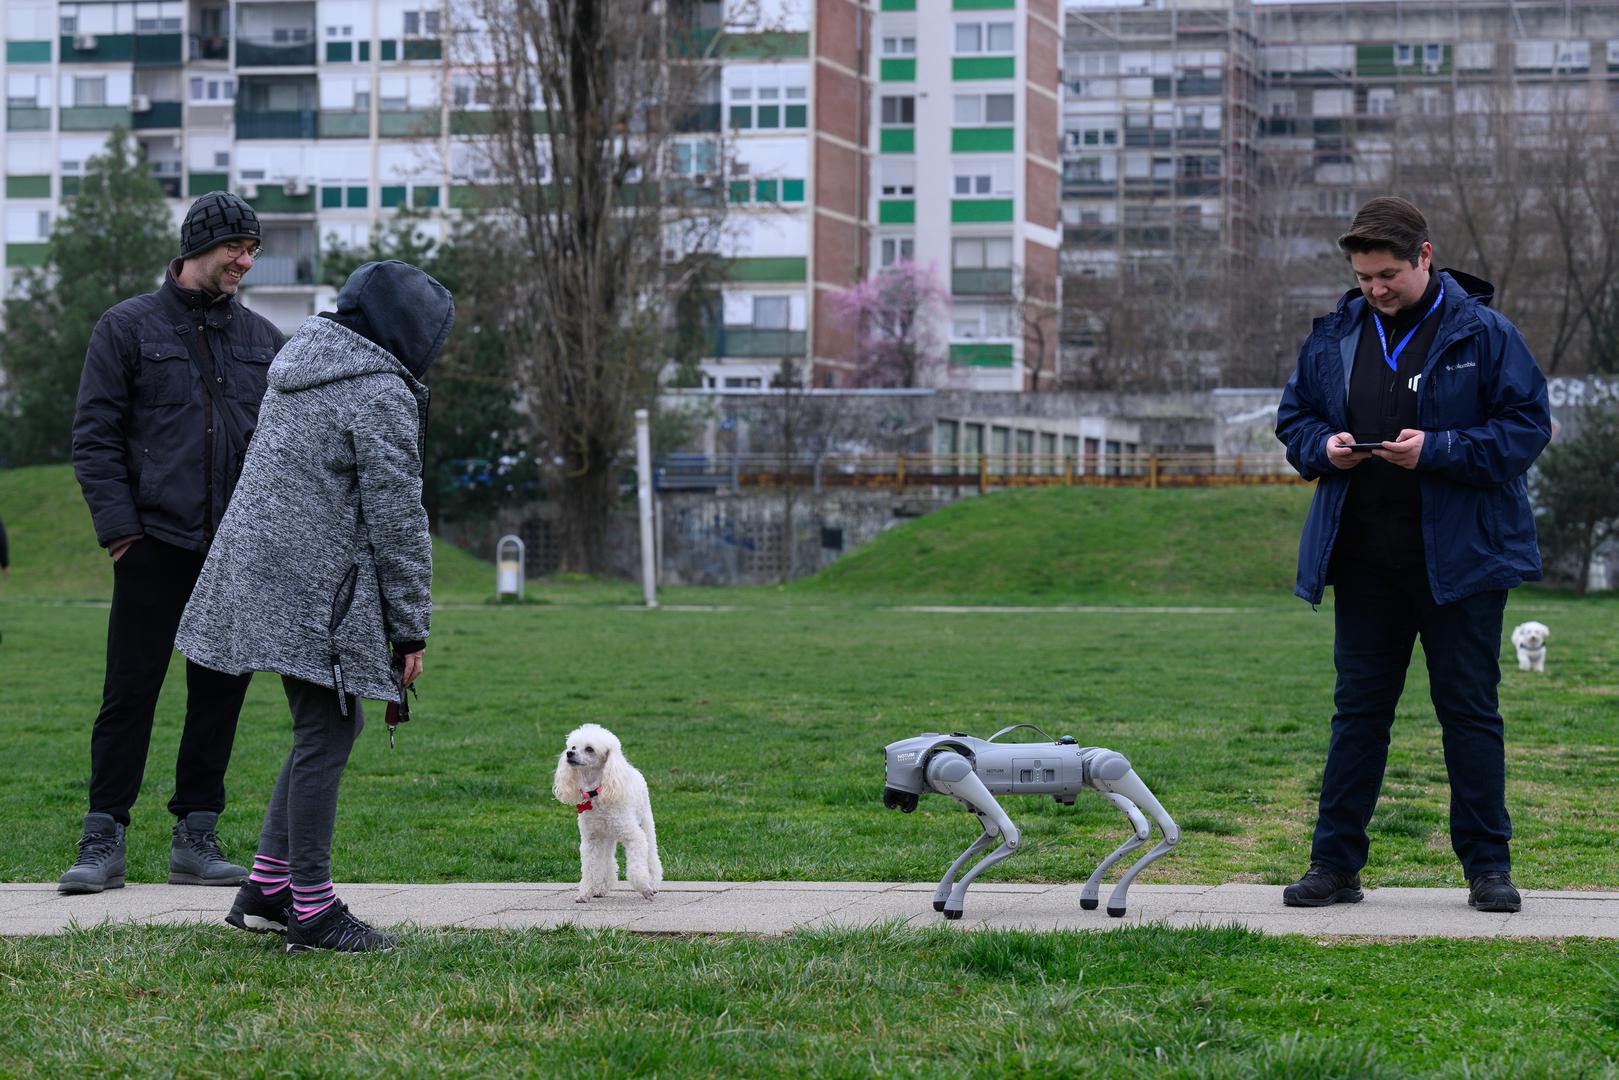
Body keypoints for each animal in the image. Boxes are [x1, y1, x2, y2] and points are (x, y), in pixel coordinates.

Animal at [553, 725, 660, 906]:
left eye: (589, 749)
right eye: (573, 746)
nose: (569, 754)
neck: (597, 794)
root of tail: (633, 770)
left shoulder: (634, 837)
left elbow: (636, 868)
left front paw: (645, 888)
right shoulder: (591, 839)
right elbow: (590, 868)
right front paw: (585, 893)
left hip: (645, 820)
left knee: (651, 853)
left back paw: (654, 883)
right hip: (606, 835)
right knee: (607, 859)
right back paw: (601, 888)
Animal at [887, 725, 1178, 919]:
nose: (892, 798)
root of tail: (1081, 753)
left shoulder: (955, 771)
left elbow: (1011, 836)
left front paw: (953, 905)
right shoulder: (970, 795)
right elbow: (993, 832)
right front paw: (942, 899)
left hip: (1105, 767)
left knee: (1166, 829)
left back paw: (1116, 903)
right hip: (1099, 778)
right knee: (1142, 828)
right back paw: (1092, 896)